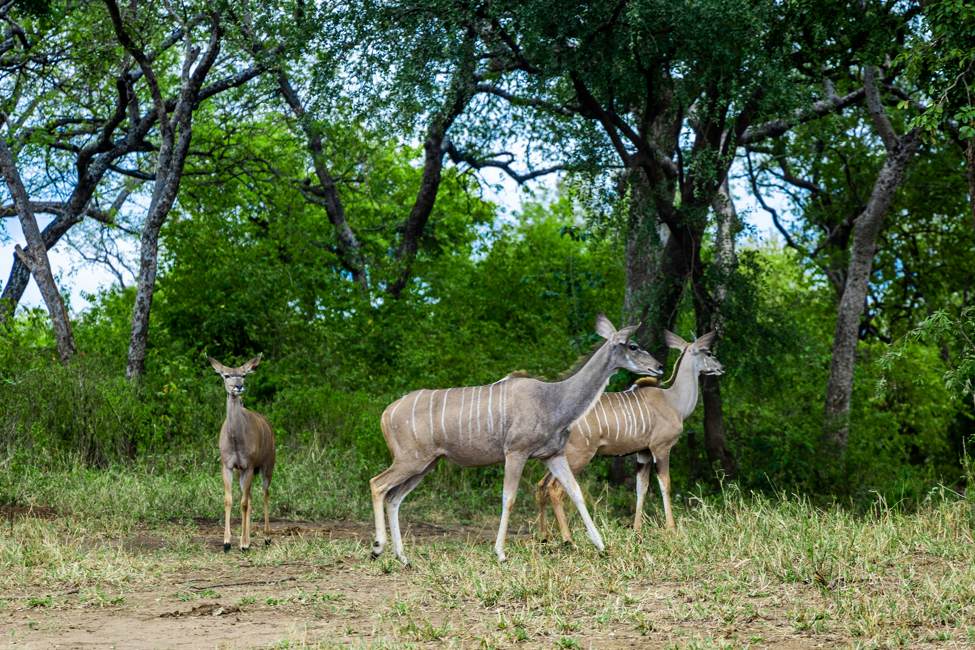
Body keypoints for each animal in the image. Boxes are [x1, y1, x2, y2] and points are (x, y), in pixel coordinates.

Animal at [209, 354, 275, 552]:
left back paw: (267, 537)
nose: (238, 386)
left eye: (244, 375)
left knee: (265, 494)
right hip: (243, 472)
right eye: (226, 375)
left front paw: (244, 543)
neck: (236, 441)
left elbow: (244, 503)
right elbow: (229, 500)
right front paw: (227, 542)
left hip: (268, 465)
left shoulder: (249, 465)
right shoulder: (228, 465)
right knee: (250, 497)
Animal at [370, 314, 664, 565]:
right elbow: (508, 498)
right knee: (378, 484)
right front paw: (500, 553)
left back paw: (403, 557)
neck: (553, 400)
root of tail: (385, 413)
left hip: (426, 465)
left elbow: (576, 492)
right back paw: (378, 548)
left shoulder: (553, 455)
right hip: (410, 460)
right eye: (633, 345)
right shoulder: (515, 453)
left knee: (394, 497)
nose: (659, 367)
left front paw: (601, 546)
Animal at [536, 330, 723, 539]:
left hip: (558, 457)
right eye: (708, 353)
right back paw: (568, 538)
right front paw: (671, 528)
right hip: (579, 456)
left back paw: (544, 536)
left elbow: (641, 487)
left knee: (541, 485)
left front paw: (637, 530)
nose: (721, 367)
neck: (674, 401)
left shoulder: (643, 453)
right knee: (555, 488)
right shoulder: (661, 448)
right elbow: (665, 484)